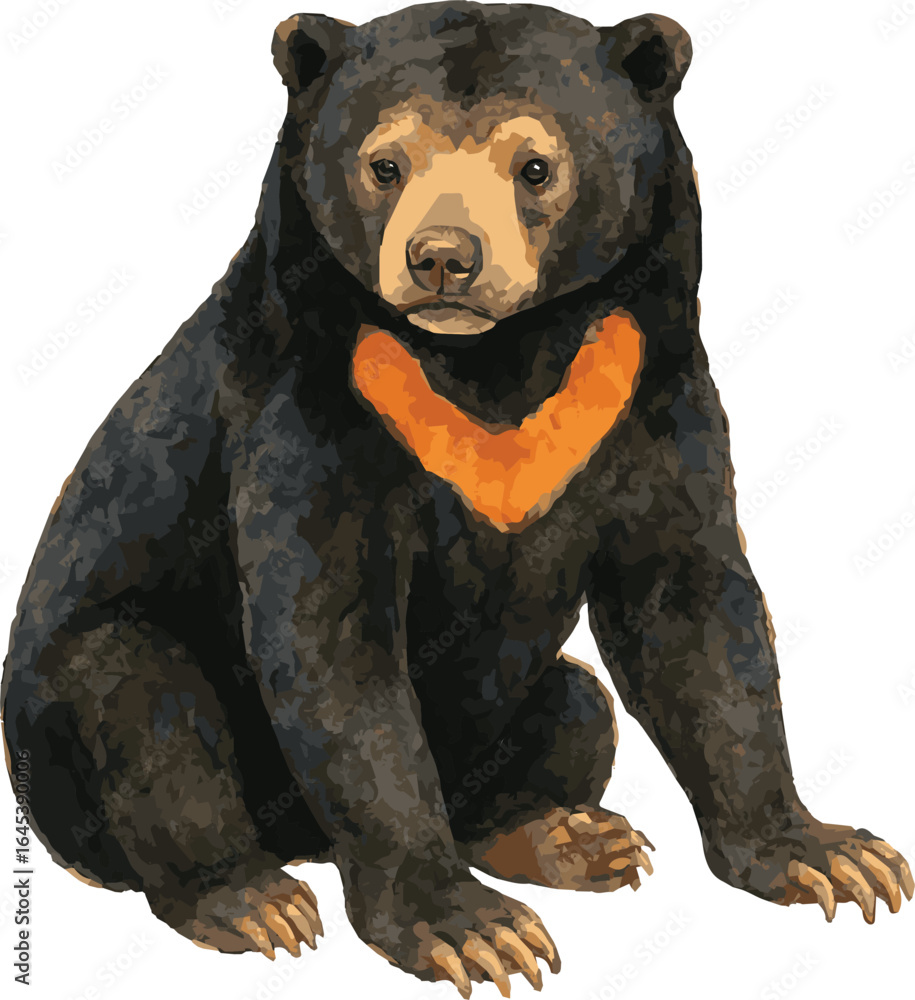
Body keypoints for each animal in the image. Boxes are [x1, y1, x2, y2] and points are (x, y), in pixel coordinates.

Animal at [2, 2, 911, 995]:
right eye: (384, 163)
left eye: (536, 167)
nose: (442, 259)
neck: (494, 355)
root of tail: (303, 842)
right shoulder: (317, 399)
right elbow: (333, 640)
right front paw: (467, 928)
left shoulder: (645, 382)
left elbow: (693, 609)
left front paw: (830, 855)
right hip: (70, 735)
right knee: (132, 693)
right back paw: (247, 897)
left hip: (533, 707)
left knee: (581, 708)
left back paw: (569, 840)